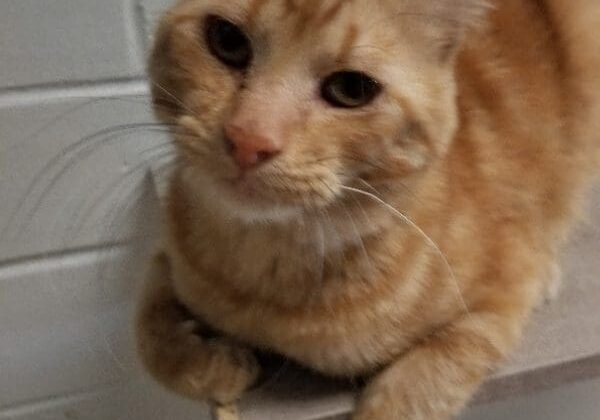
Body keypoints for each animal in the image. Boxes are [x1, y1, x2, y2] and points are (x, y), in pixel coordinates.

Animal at [136, 1, 600, 418]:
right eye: (227, 41)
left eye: (351, 90)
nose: (249, 139)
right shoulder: (166, 254)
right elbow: (149, 337)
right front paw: (216, 365)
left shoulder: (502, 294)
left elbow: (422, 383)